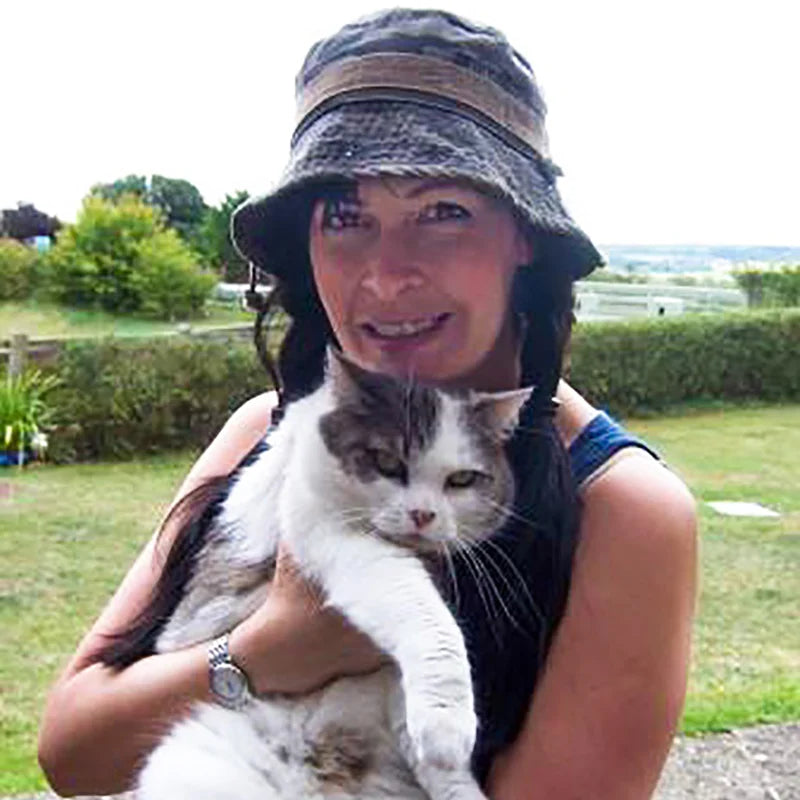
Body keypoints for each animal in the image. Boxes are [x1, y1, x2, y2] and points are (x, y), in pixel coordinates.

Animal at [133, 348, 533, 800]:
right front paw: (446, 724)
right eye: (387, 462)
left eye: (462, 479)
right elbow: (425, 616)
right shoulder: (332, 532)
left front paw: (451, 770)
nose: (423, 514)